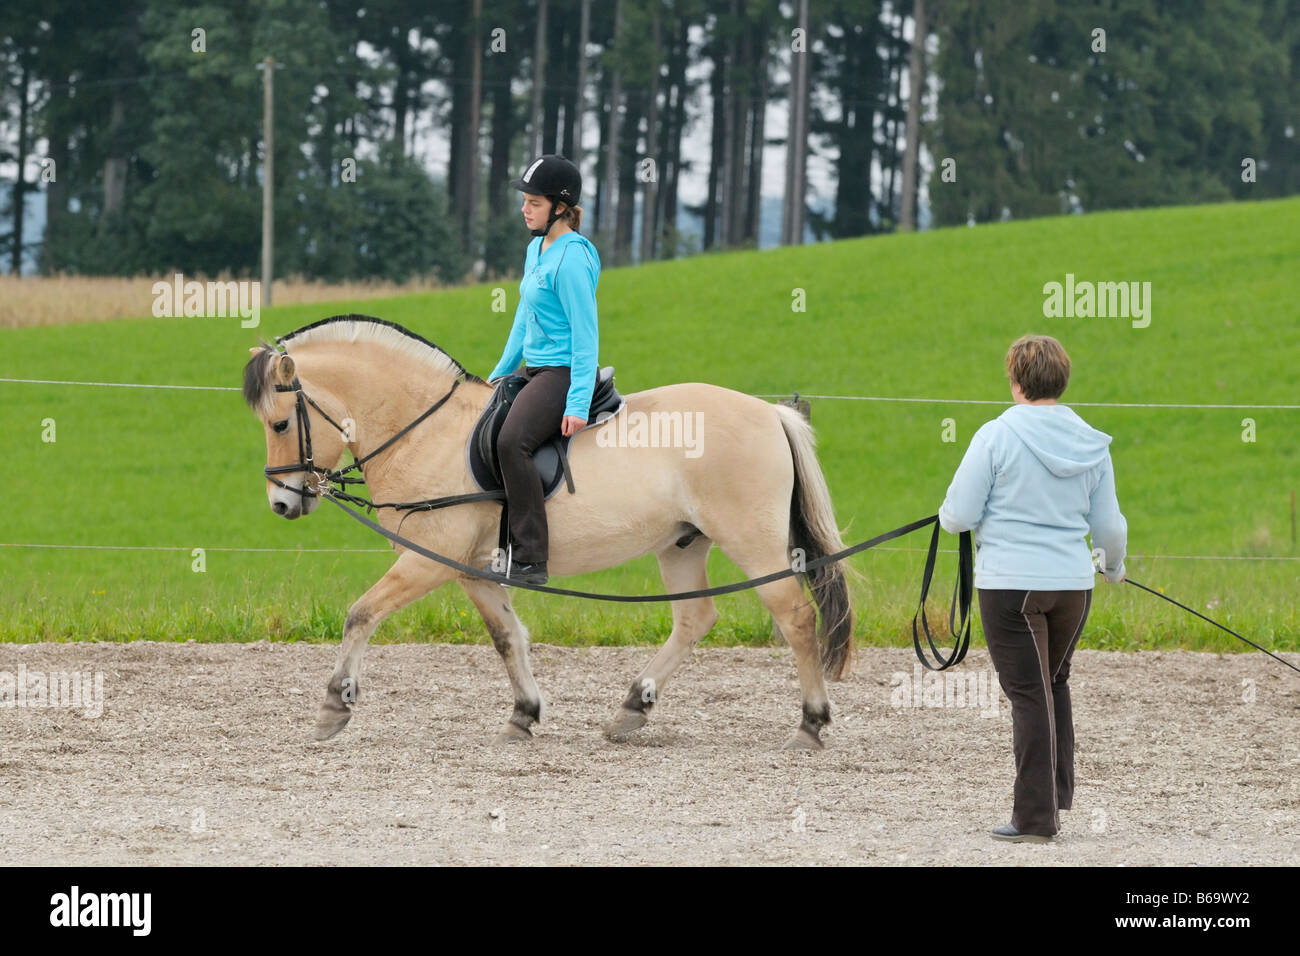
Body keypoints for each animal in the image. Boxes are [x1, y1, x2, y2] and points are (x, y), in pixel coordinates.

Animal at [243, 315, 858, 749]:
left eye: (280, 423)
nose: (281, 502)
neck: (425, 430)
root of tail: (771, 414)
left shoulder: (429, 560)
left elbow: (361, 614)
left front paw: (333, 707)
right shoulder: (471, 568)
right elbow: (507, 636)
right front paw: (523, 715)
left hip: (752, 543)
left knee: (796, 618)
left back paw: (810, 725)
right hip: (682, 543)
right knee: (695, 619)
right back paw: (632, 708)